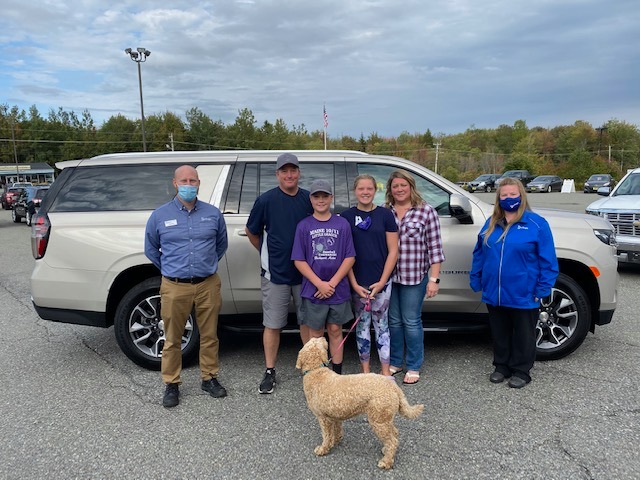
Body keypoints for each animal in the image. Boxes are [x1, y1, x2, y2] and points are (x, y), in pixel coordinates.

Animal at [295, 337, 424, 469]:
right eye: (315, 340)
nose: (323, 337)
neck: (316, 370)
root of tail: (394, 387)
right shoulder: (334, 416)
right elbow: (336, 431)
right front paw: (335, 441)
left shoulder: (323, 418)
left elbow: (326, 436)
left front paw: (323, 449)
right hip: (384, 418)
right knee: (394, 433)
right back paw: (386, 451)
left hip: (378, 420)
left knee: (392, 441)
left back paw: (386, 462)